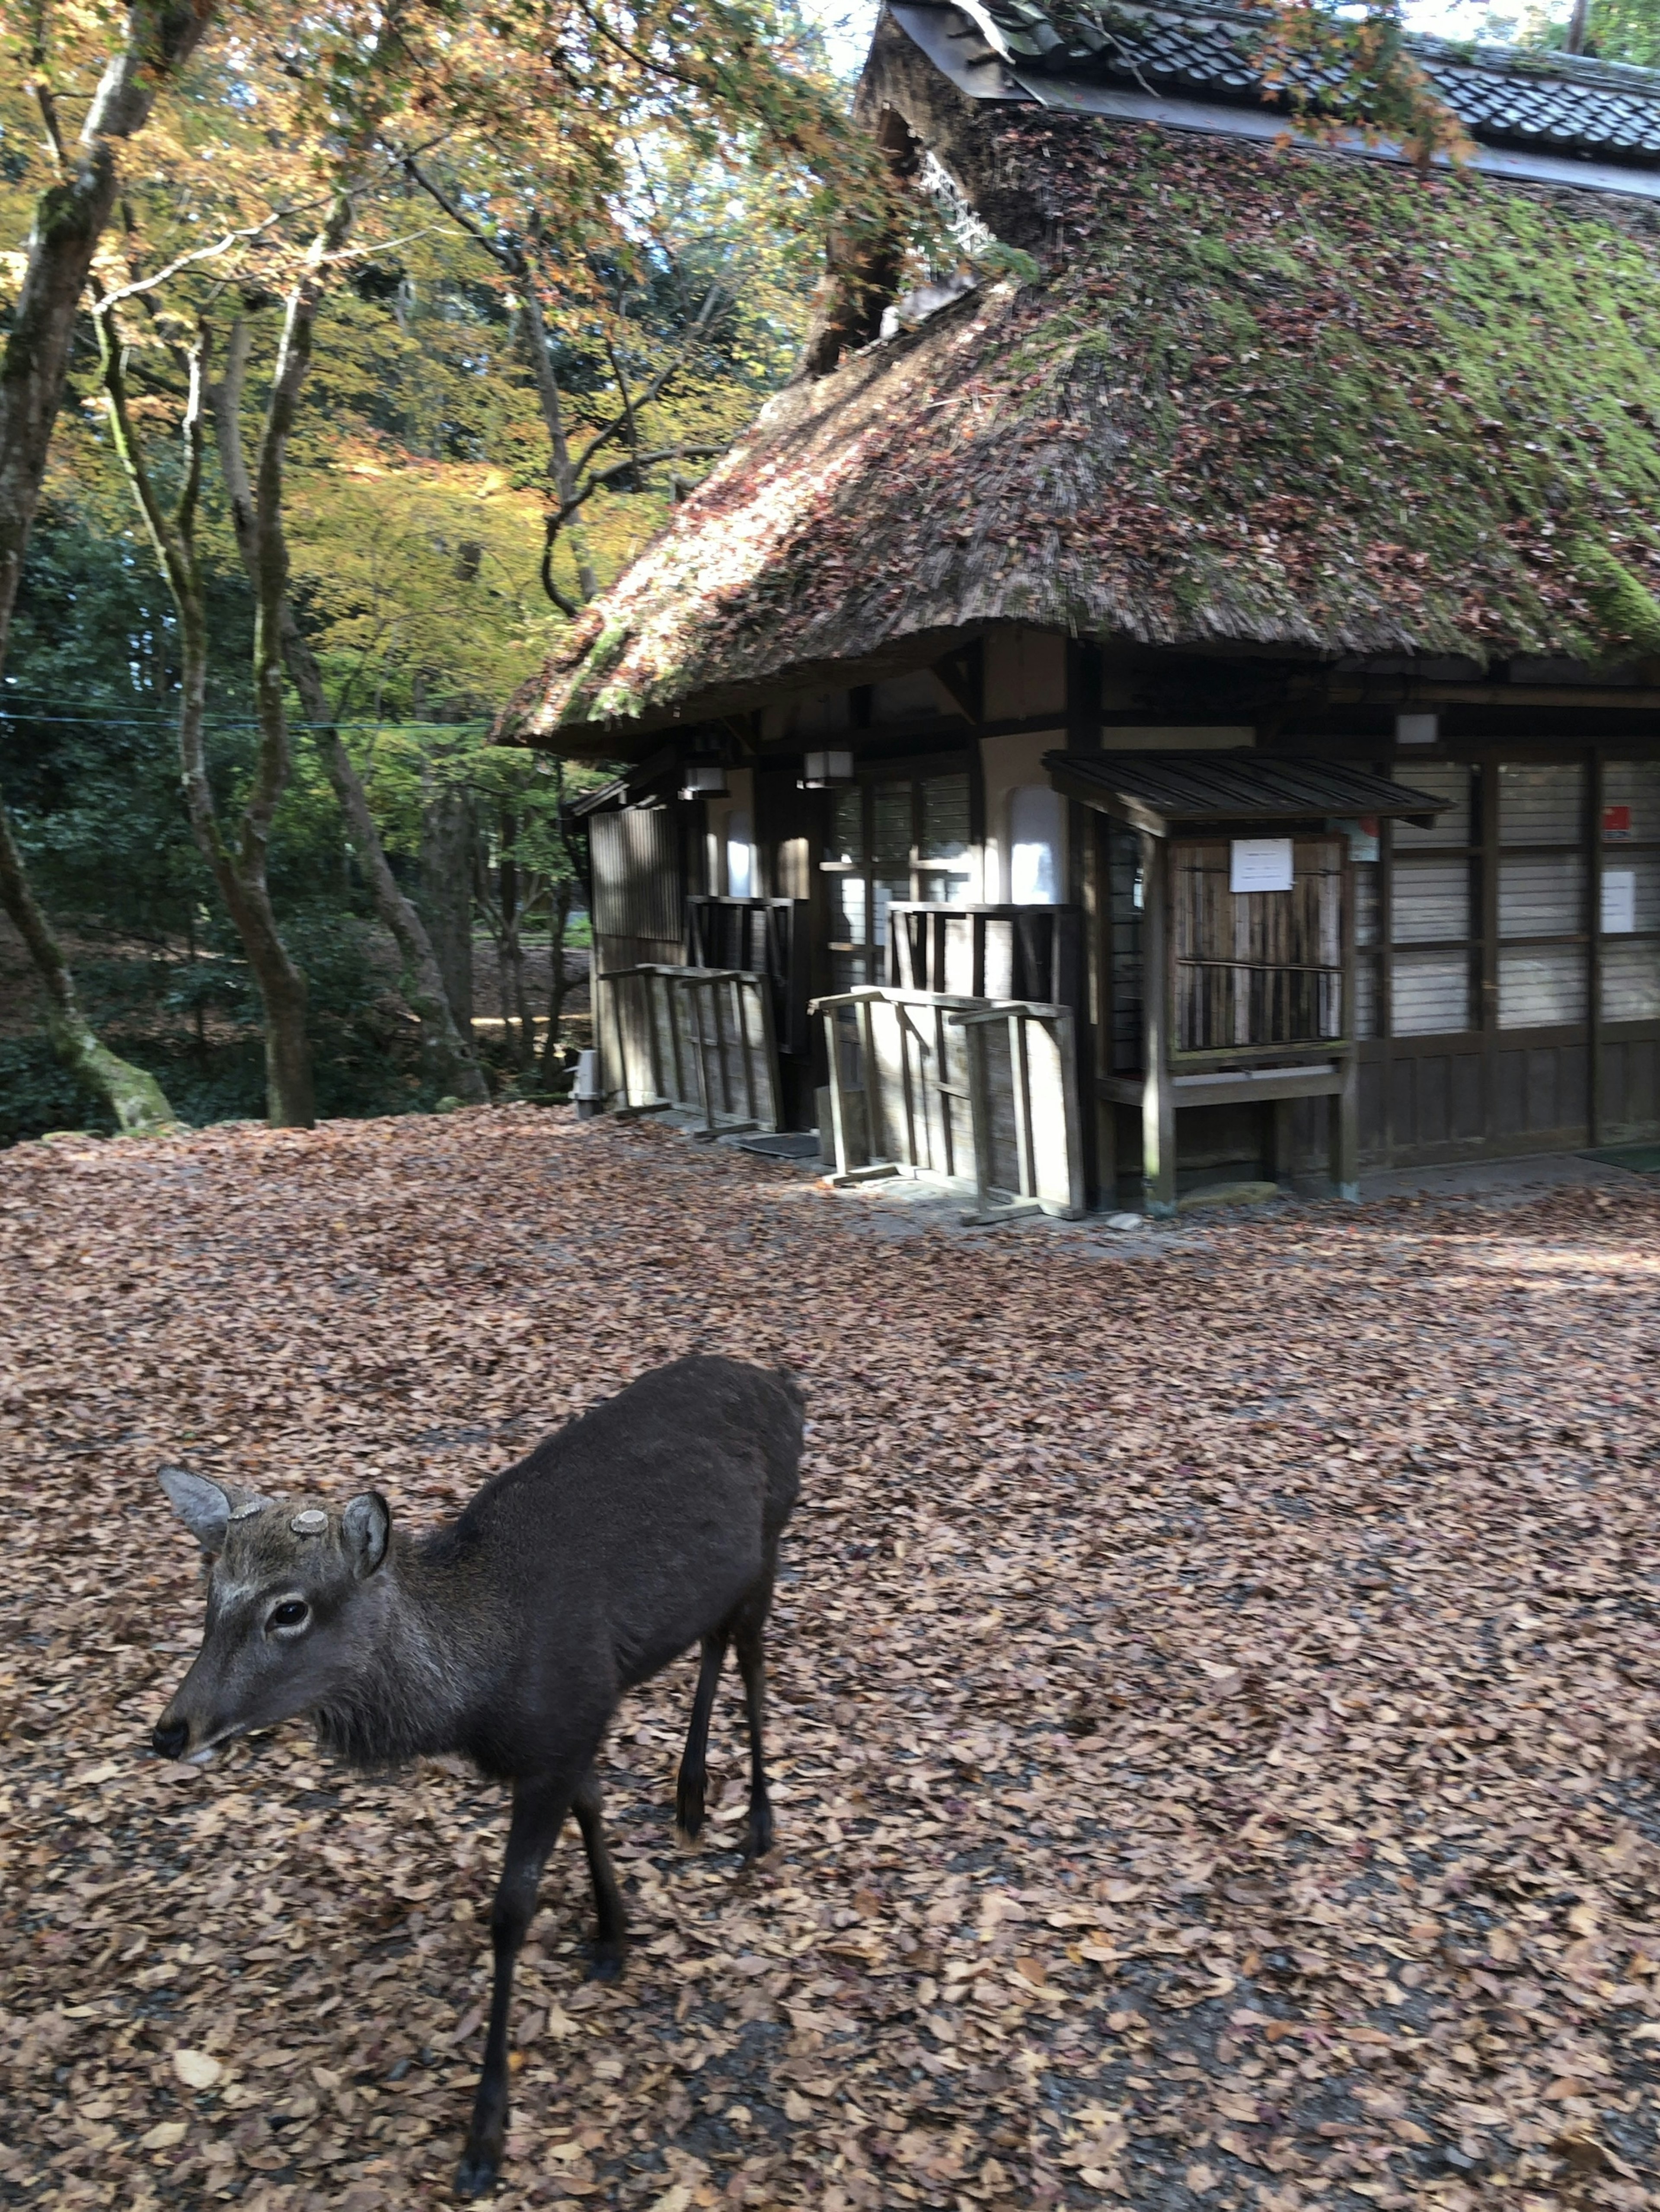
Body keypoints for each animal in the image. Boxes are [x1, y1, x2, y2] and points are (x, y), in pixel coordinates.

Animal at [149, 1345, 805, 2194]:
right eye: (211, 1593)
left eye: (289, 1608)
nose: (172, 1729)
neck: (478, 1696)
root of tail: (785, 1384)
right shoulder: (571, 1733)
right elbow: (594, 1809)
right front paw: (613, 1934)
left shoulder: (566, 1724)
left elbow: (509, 1912)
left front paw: (484, 2136)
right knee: (716, 1643)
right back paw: (688, 1794)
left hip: (773, 1541)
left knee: (754, 1659)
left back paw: (757, 1821)